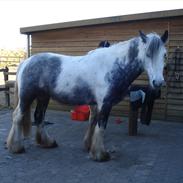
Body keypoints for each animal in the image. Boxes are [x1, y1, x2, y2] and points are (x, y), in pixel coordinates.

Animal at [6, 30, 168, 162]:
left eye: (164, 55)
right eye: (147, 53)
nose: (158, 82)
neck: (112, 66)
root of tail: (26, 62)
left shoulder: (95, 104)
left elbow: (92, 122)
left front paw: (89, 146)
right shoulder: (105, 103)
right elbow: (101, 126)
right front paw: (100, 154)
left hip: (43, 97)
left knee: (39, 117)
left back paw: (47, 142)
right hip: (27, 97)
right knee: (17, 116)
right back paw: (16, 147)